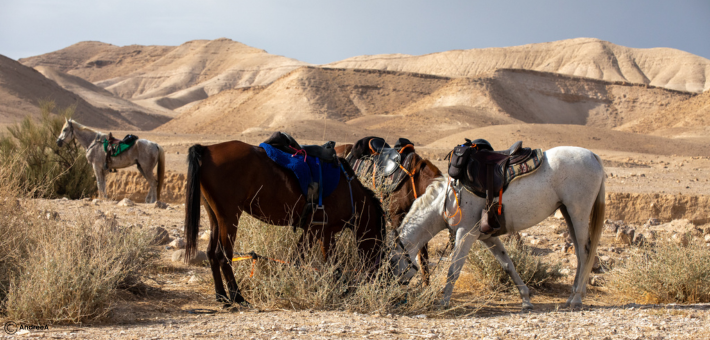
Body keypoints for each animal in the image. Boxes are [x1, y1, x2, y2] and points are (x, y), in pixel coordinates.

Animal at [184, 141, 384, 306]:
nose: (379, 282)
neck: (349, 192)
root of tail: (206, 149)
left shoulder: (325, 232)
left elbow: (333, 264)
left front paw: (341, 289)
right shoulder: (314, 230)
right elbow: (298, 259)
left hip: (215, 218)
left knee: (211, 253)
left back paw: (221, 296)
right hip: (230, 217)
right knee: (223, 255)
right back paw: (237, 297)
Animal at [390, 147, 608, 310]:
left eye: (391, 263)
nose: (392, 295)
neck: (448, 199)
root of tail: (593, 156)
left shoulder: (466, 233)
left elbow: (454, 269)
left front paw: (443, 302)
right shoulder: (487, 236)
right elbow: (507, 264)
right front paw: (525, 299)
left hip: (578, 211)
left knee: (585, 252)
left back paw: (577, 298)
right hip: (567, 212)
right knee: (580, 254)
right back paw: (572, 296)